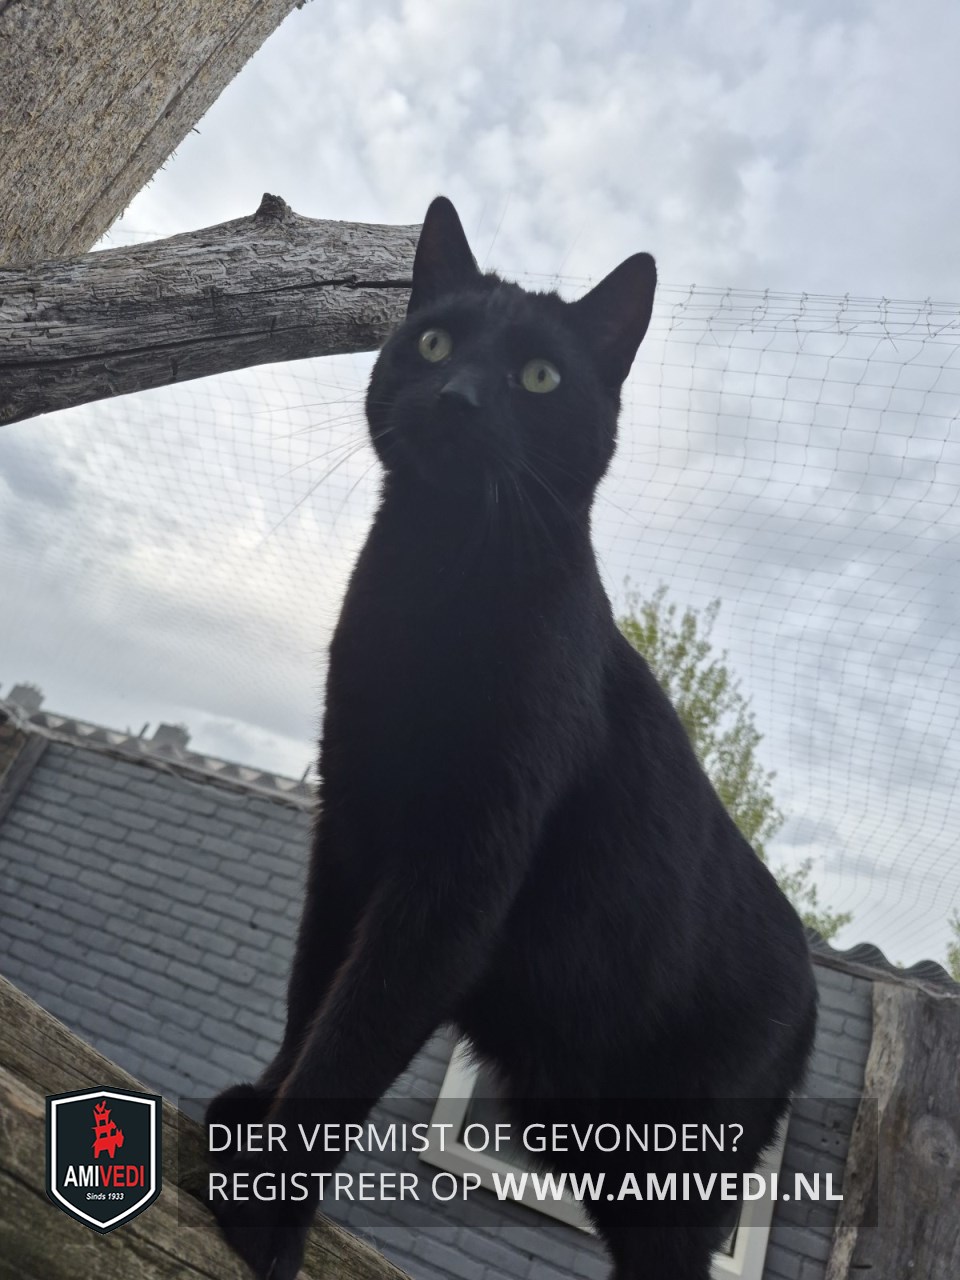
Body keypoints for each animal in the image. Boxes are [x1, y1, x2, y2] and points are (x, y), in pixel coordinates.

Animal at [205, 196, 818, 1280]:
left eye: (539, 378)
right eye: (435, 342)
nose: (456, 397)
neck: (436, 584)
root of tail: (818, 992)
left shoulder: (455, 883)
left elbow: (355, 1033)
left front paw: (271, 1205)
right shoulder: (349, 830)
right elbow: (312, 988)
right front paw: (256, 1108)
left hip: (677, 1159)